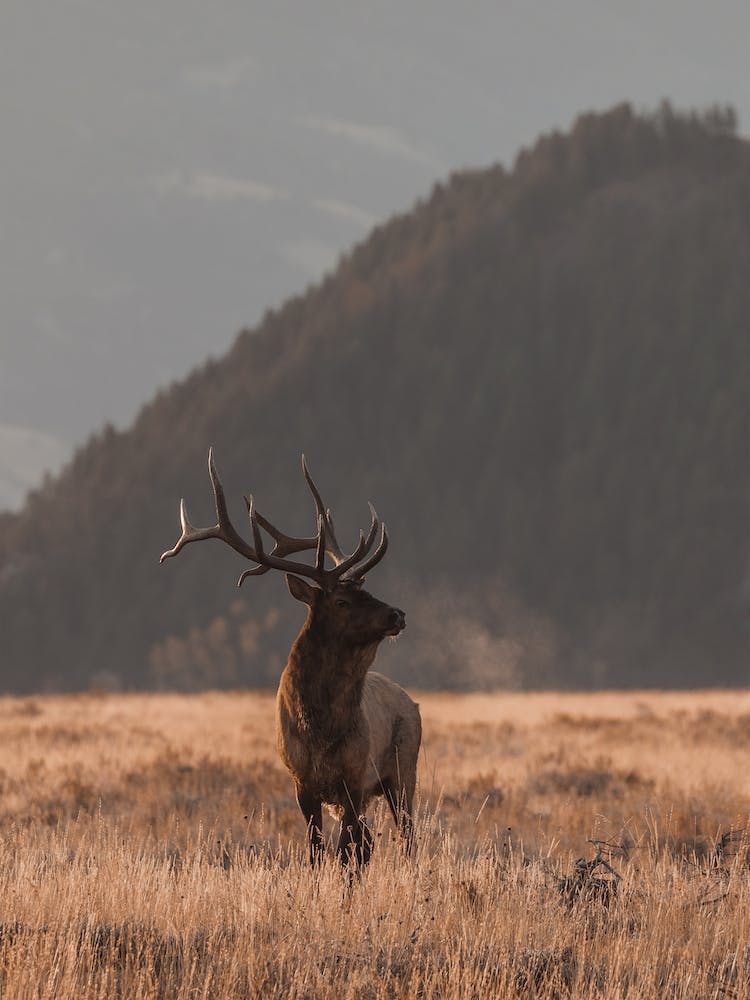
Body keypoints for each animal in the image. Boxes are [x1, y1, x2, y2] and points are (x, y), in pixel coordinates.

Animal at [160, 449, 421, 867]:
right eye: (342, 600)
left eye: (367, 591)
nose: (398, 614)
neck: (319, 728)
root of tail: (411, 702)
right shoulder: (302, 782)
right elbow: (317, 849)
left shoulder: (354, 777)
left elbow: (344, 851)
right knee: (368, 842)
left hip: (403, 769)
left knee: (404, 837)